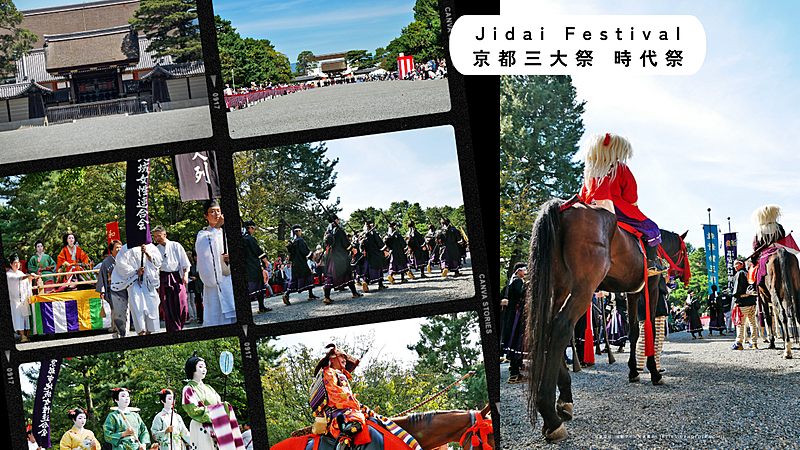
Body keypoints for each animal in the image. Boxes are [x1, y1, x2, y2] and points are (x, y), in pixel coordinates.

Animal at [524, 199, 688, 442]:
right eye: (684, 252)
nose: (682, 278)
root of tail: (564, 207)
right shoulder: (649, 288)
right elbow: (648, 328)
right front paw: (654, 372)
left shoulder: (632, 292)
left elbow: (634, 332)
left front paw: (633, 371)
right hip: (583, 287)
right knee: (562, 327)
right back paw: (551, 418)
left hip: (559, 287)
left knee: (546, 328)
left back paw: (564, 399)